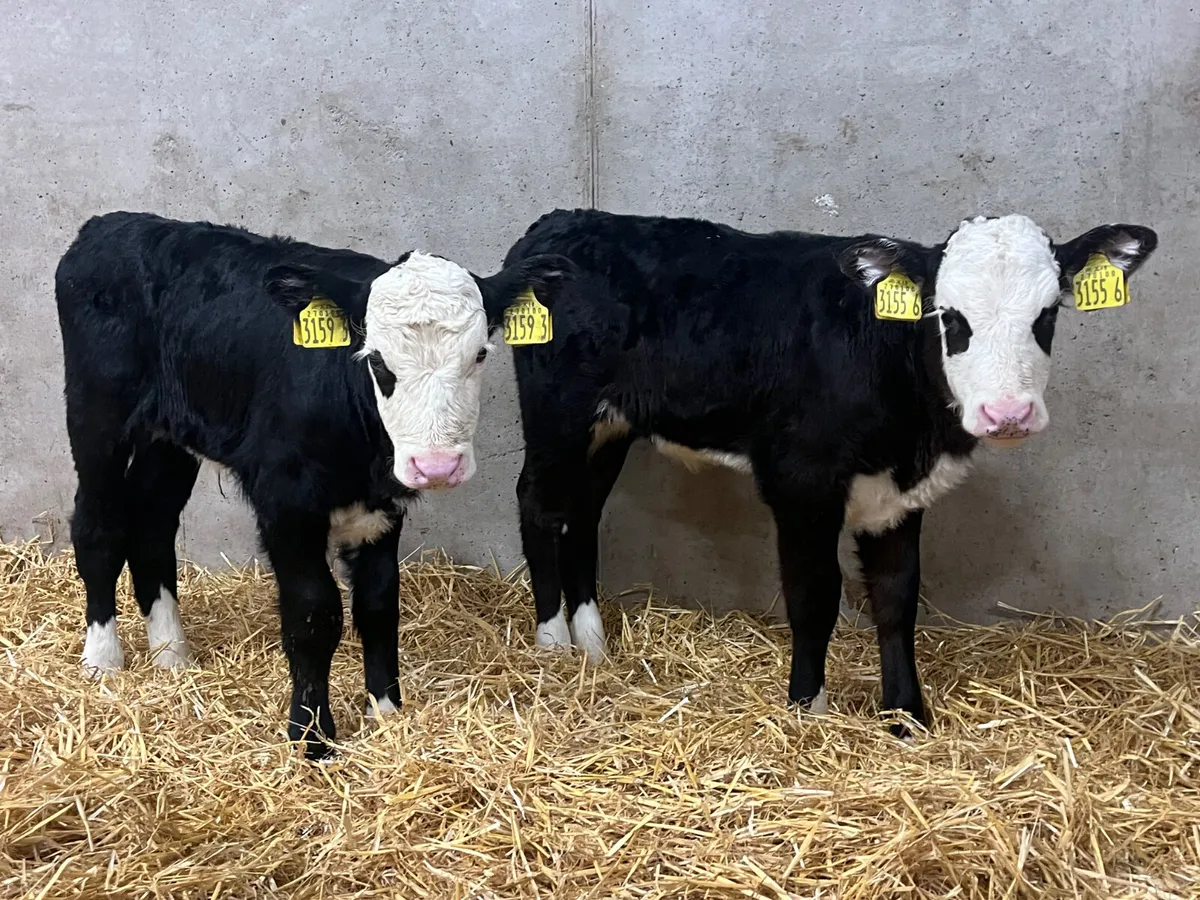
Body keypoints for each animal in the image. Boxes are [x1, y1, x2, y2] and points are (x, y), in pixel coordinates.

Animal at [55, 211, 573, 758]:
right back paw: (104, 658)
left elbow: (378, 603)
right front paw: (311, 735)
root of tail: (113, 222)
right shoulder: (286, 505)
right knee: (98, 528)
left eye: (479, 354)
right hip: (97, 417)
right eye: (377, 360)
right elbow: (313, 613)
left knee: (153, 529)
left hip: (169, 440)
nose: (436, 465)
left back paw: (172, 656)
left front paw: (386, 713)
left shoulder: (381, 506)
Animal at [502, 208, 1157, 735]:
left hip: (609, 427)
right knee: (539, 505)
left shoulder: (897, 495)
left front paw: (906, 716)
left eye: (1047, 316)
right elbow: (814, 595)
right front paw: (806, 709)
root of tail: (563, 221)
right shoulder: (801, 482)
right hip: (558, 412)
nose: (1008, 413)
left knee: (582, 514)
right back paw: (552, 644)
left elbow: (897, 596)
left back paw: (593, 645)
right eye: (949, 317)